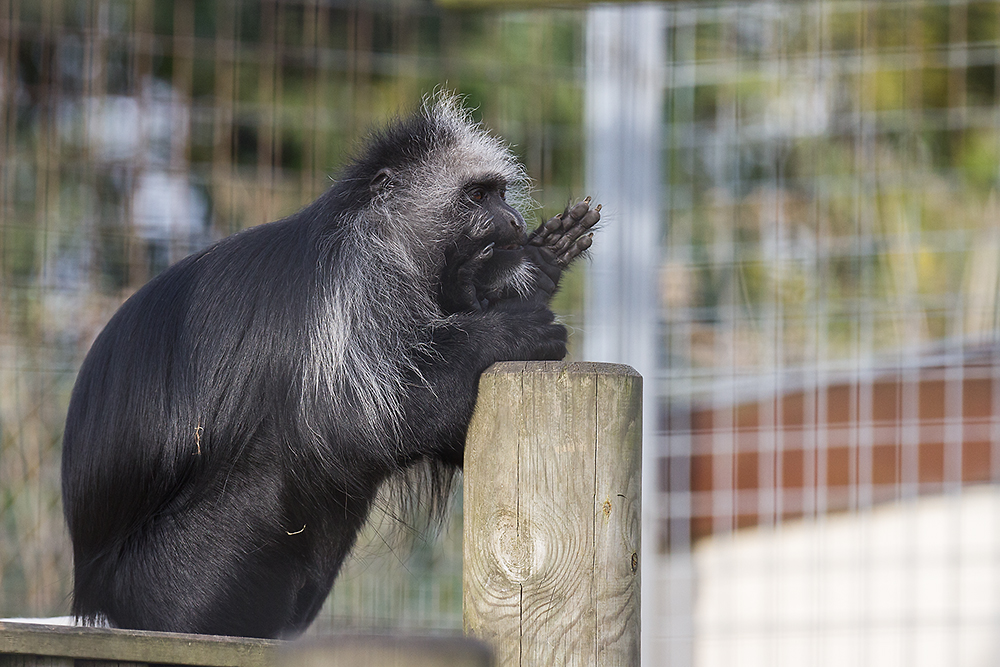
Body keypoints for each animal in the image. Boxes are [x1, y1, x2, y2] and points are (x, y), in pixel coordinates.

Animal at [60, 94, 601, 640]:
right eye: (477, 197)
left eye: (500, 194)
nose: (512, 219)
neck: (387, 238)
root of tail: (98, 597)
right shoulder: (354, 289)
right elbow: (359, 422)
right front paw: (509, 325)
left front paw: (536, 270)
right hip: (174, 575)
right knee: (273, 463)